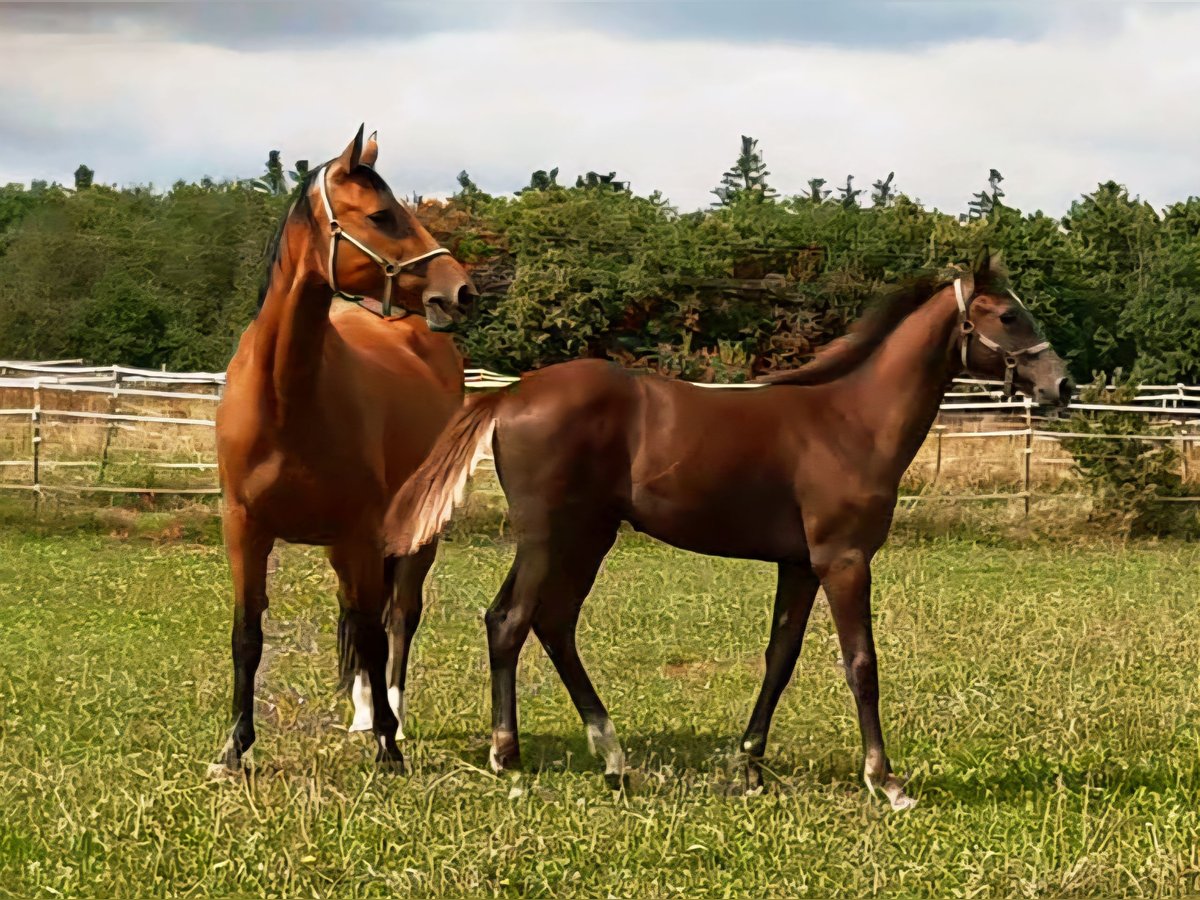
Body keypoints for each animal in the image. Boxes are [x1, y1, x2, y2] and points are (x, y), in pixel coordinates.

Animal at [211, 126, 477, 775]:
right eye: (382, 215)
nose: (459, 291)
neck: (286, 402)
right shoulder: (244, 529)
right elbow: (247, 635)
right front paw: (234, 749)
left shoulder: (362, 532)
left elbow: (377, 633)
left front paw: (388, 746)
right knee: (361, 618)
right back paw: (361, 714)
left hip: (415, 535)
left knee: (398, 616)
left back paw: (392, 717)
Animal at [382, 249, 1071, 808]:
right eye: (1008, 316)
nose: (1062, 384)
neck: (851, 421)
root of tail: (510, 394)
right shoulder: (844, 559)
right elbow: (861, 662)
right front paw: (886, 781)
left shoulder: (800, 565)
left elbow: (780, 659)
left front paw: (750, 769)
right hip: (551, 537)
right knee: (511, 622)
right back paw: (511, 759)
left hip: (586, 538)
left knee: (550, 624)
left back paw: (614, 759)